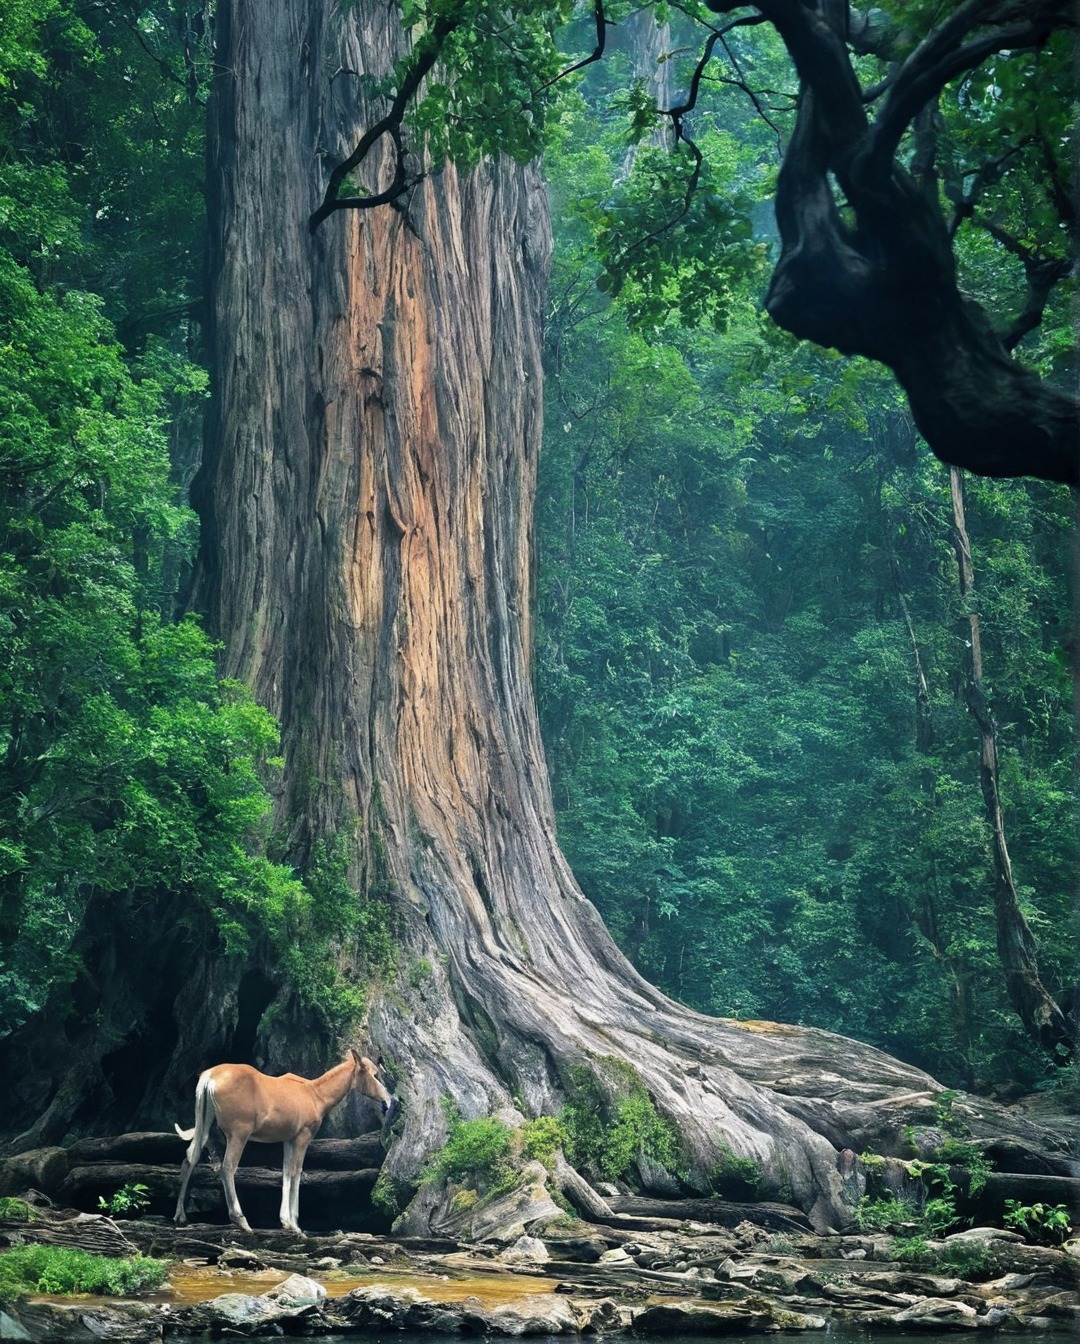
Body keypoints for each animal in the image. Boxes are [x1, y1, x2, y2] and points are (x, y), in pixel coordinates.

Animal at [174, 1053, 394, 1231]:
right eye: (374, 1075)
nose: (388, 1099)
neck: (317, 1096)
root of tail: (208, 1078)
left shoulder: (289, 1138)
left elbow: (286, 1172)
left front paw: (286, 1221)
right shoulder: (303, 1136)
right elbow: (296, 1172)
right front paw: (295, 1225)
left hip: (205, 1120)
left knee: (191, 1156)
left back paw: (180, 1215)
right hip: (238, 1132)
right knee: (227, 1166)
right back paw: (241, 1220)